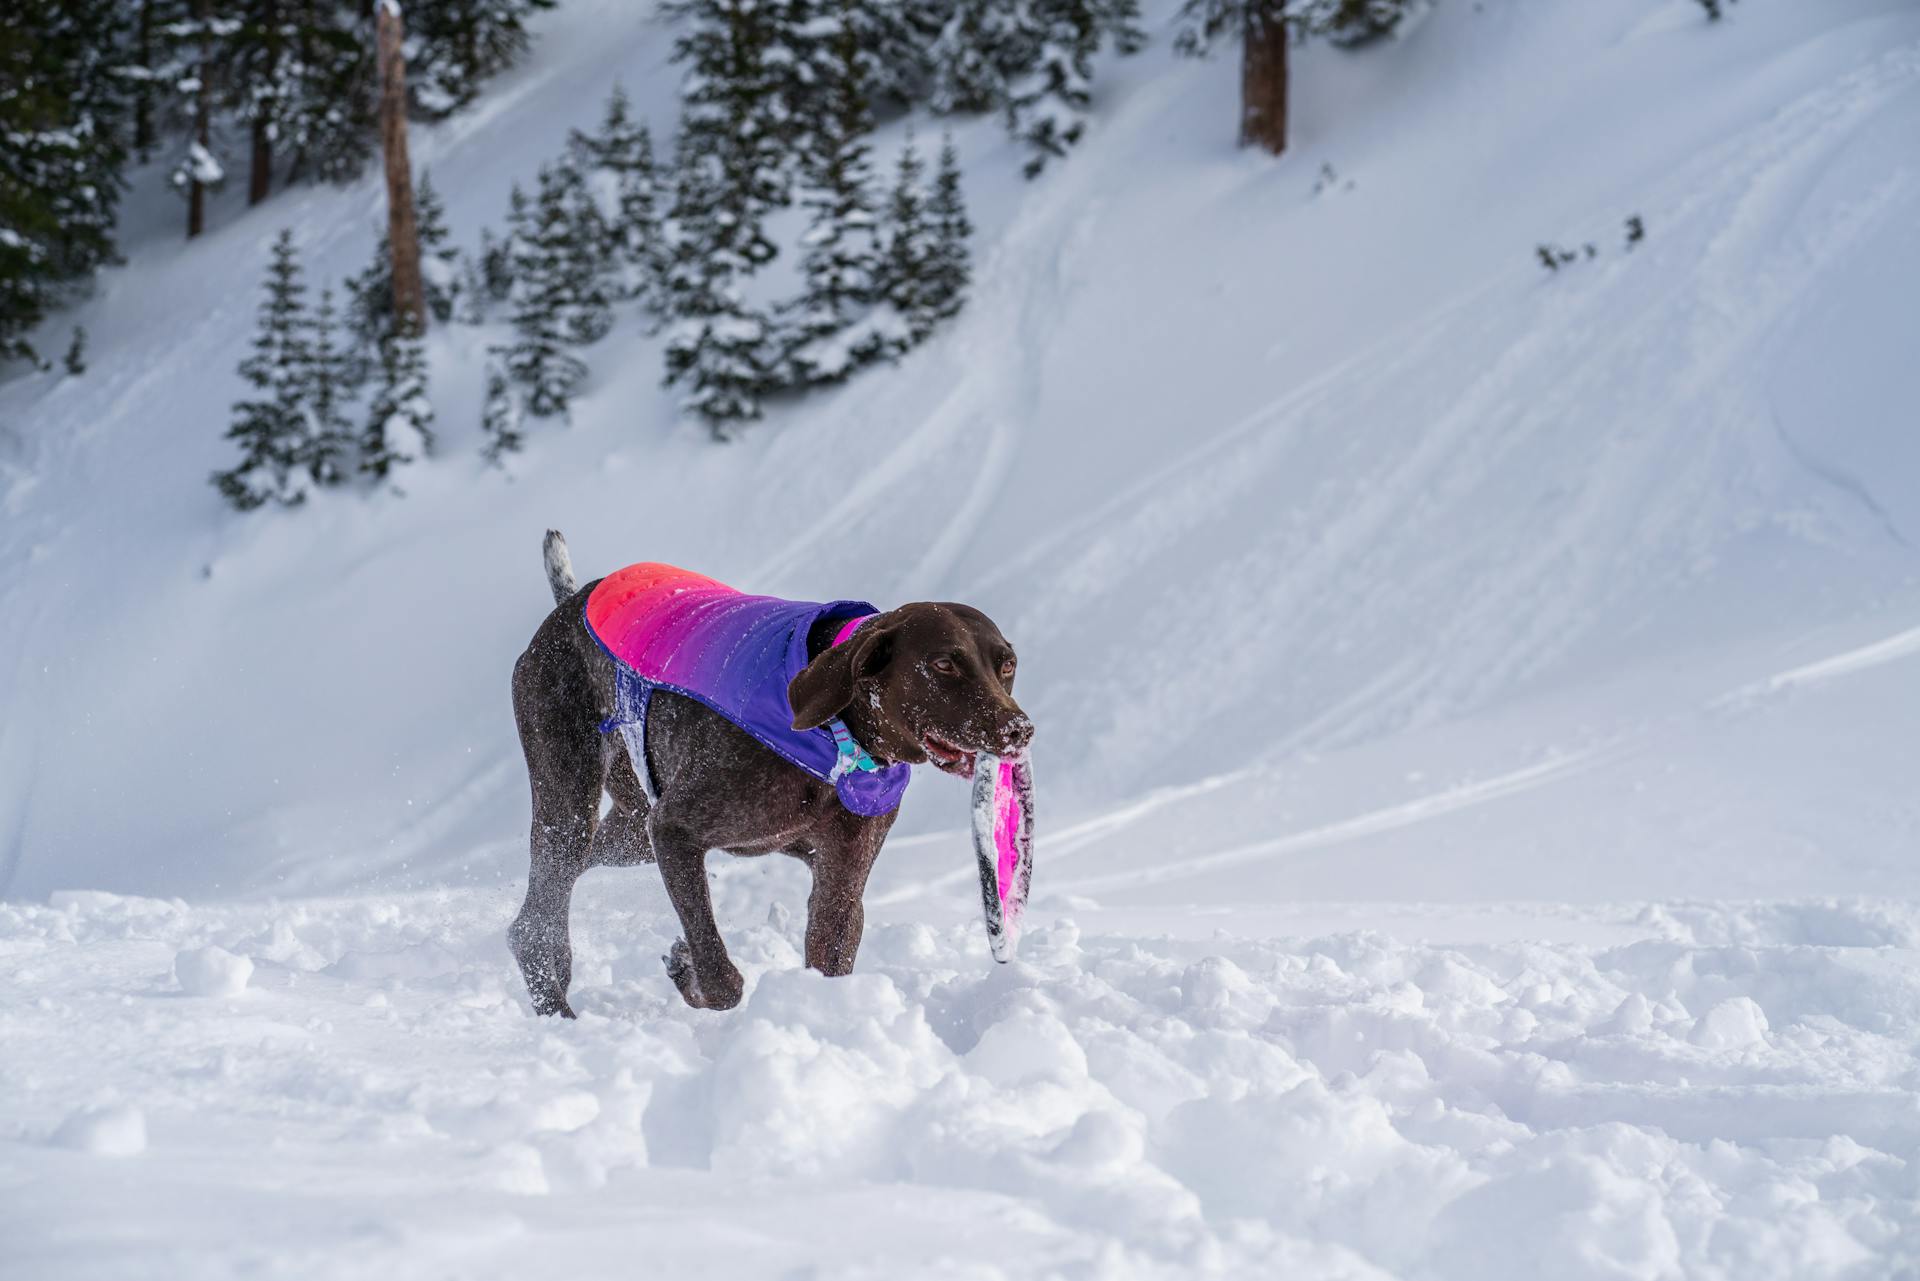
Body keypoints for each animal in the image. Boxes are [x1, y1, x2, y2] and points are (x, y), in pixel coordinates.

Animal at [503, 530, 1036, 1014]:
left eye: (1007, 664)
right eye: (943, 663)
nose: (1018, 729)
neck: (838, 741)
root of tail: (571, 603)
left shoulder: (840, 879)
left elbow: (827, 954)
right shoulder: (674, 831)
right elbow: (721, 978)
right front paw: (691, 972)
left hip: (632, 829)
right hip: (572, 805)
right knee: (535, 926)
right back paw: (557, 1011)